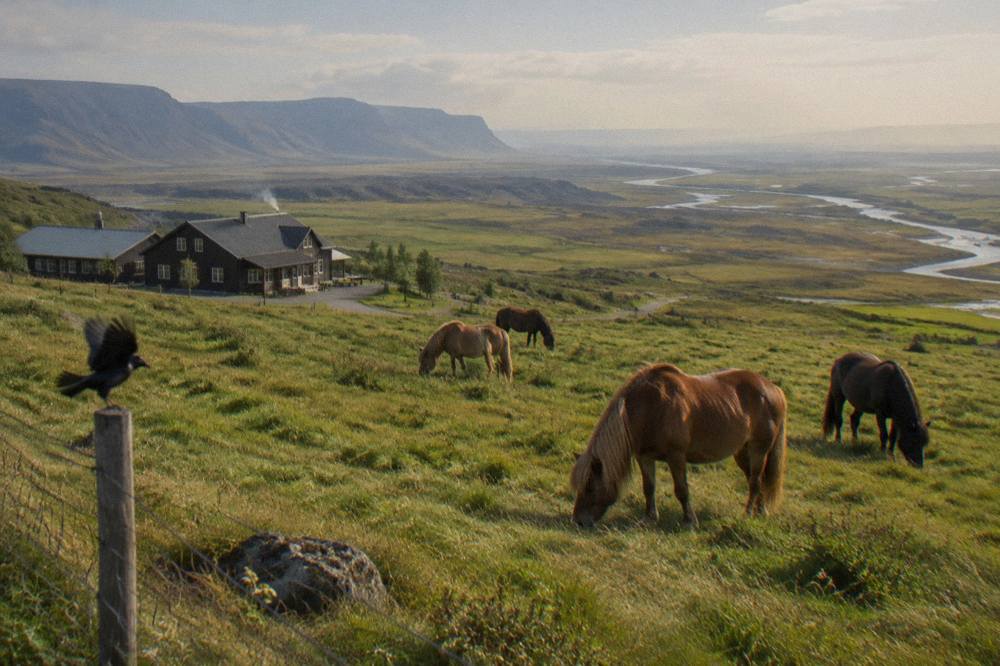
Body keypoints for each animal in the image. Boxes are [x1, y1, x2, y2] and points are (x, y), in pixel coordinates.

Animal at [570, 363, 787, 528]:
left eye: (590, 486)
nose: (578, 521)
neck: (650, 407)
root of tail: (773, 389)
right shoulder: (644, 456)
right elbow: (648, 487)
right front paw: (649, 518)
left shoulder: (676, 456)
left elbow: (681, 489)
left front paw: (689, 521)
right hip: (742, 451)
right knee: (757, 479)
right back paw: (761, 511)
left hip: (759, 449)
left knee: (755, 481)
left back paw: (748, 513)